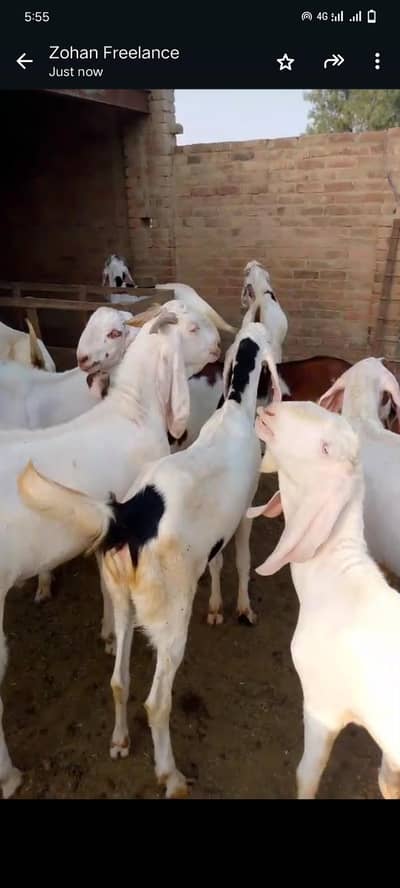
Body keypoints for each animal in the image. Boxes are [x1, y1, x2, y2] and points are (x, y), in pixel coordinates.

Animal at [19, 321, 281, 799]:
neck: (234, 409)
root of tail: (126, 519)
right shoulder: (244, 515)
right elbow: (242, 560)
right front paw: (242, 608)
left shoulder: (210, 540)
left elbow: (217, 564)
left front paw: (216, 607)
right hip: (170, 614)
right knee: (157, 703)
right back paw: (171, 776)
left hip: (124, 601)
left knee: (118, 680)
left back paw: (120, 741)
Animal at [249, 399, 400, 800]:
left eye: (326, 448)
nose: (270, 410)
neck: (339, 580)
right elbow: (387, 781)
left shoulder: (322, 706)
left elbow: (307, 774)